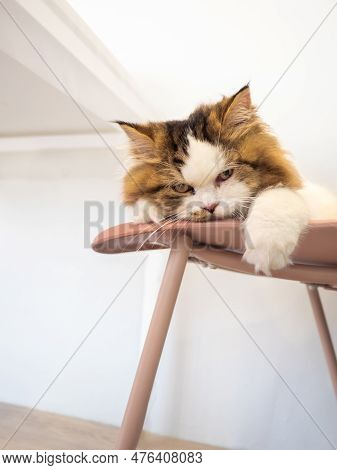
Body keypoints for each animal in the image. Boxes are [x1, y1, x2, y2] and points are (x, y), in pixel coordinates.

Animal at [116, 84, 336, 276]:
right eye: (181, 187)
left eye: (226, 174)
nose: (210, 206)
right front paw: (150, 211)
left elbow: (275, 196)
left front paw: (264, 249)